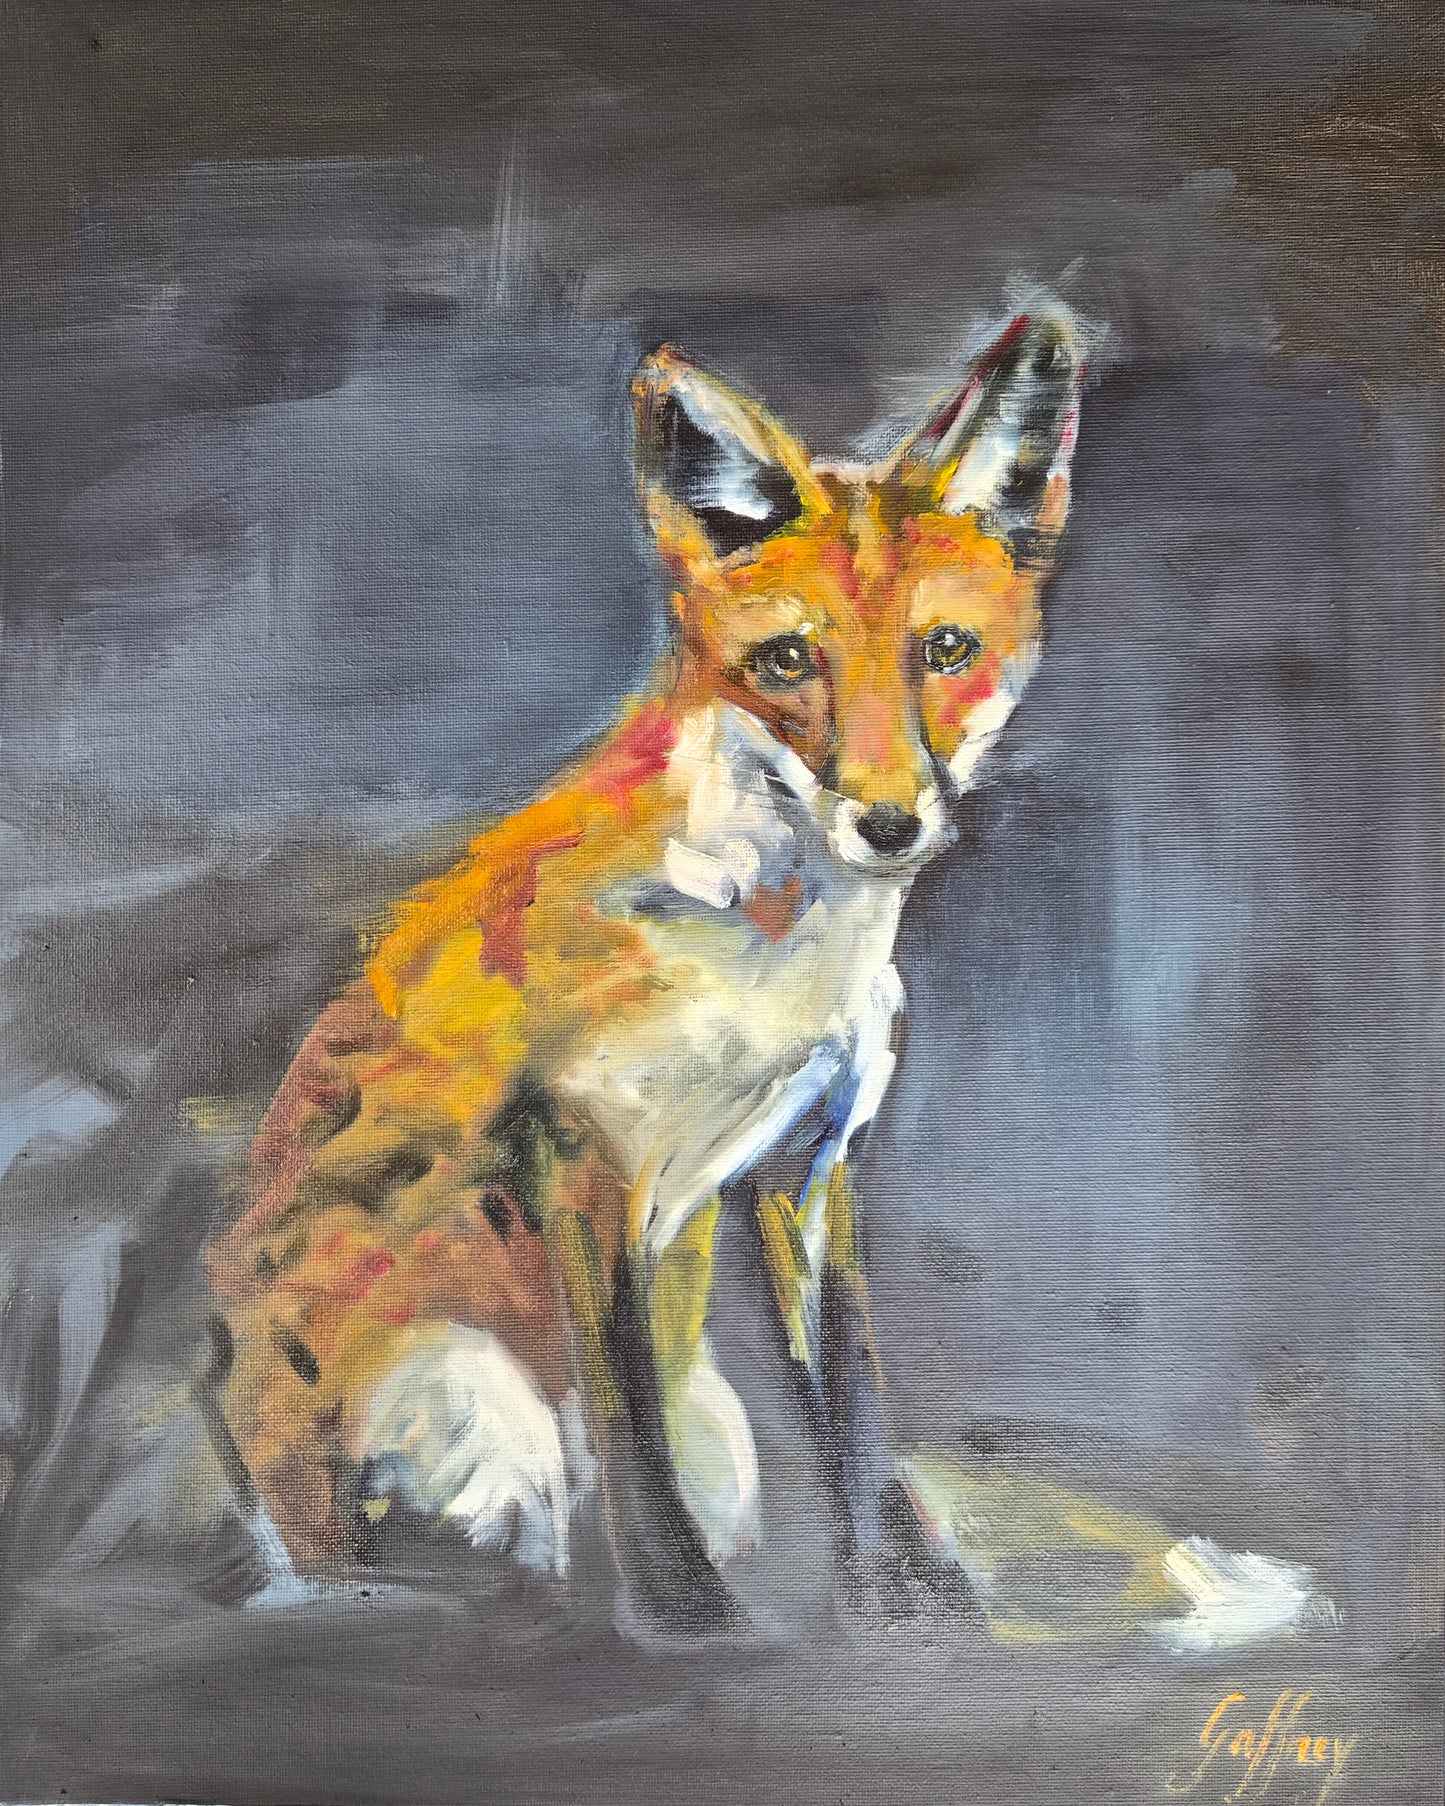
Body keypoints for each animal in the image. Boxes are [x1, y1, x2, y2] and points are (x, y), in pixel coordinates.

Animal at [204, 300, 1090, 1625]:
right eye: (786, 664)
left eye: (944, 648)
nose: (888, 824)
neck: (770, 955)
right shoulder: (585, 1163)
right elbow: (628, 1431)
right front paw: (685, 1617)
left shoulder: (807, 1167)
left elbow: (851, 1406)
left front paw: (909, 1586)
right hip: (472, 1398)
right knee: (465, 1545)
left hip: (692, 1415)